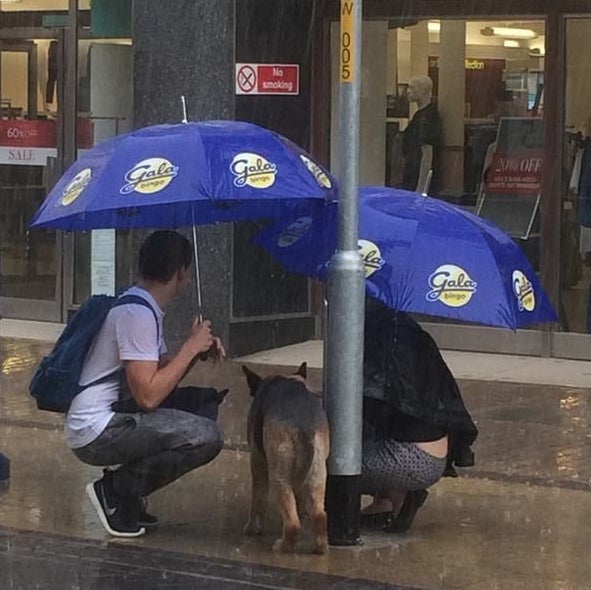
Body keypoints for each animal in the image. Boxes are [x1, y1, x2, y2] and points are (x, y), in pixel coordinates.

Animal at [243, 364, 330, 556]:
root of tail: (305, 427)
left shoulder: (258, 462)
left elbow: (257, 500)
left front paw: (253, 528)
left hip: (279, 478)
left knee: (292, 525)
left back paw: (283, 547)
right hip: (317, 475)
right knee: (319, 515)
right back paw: (319, 547)